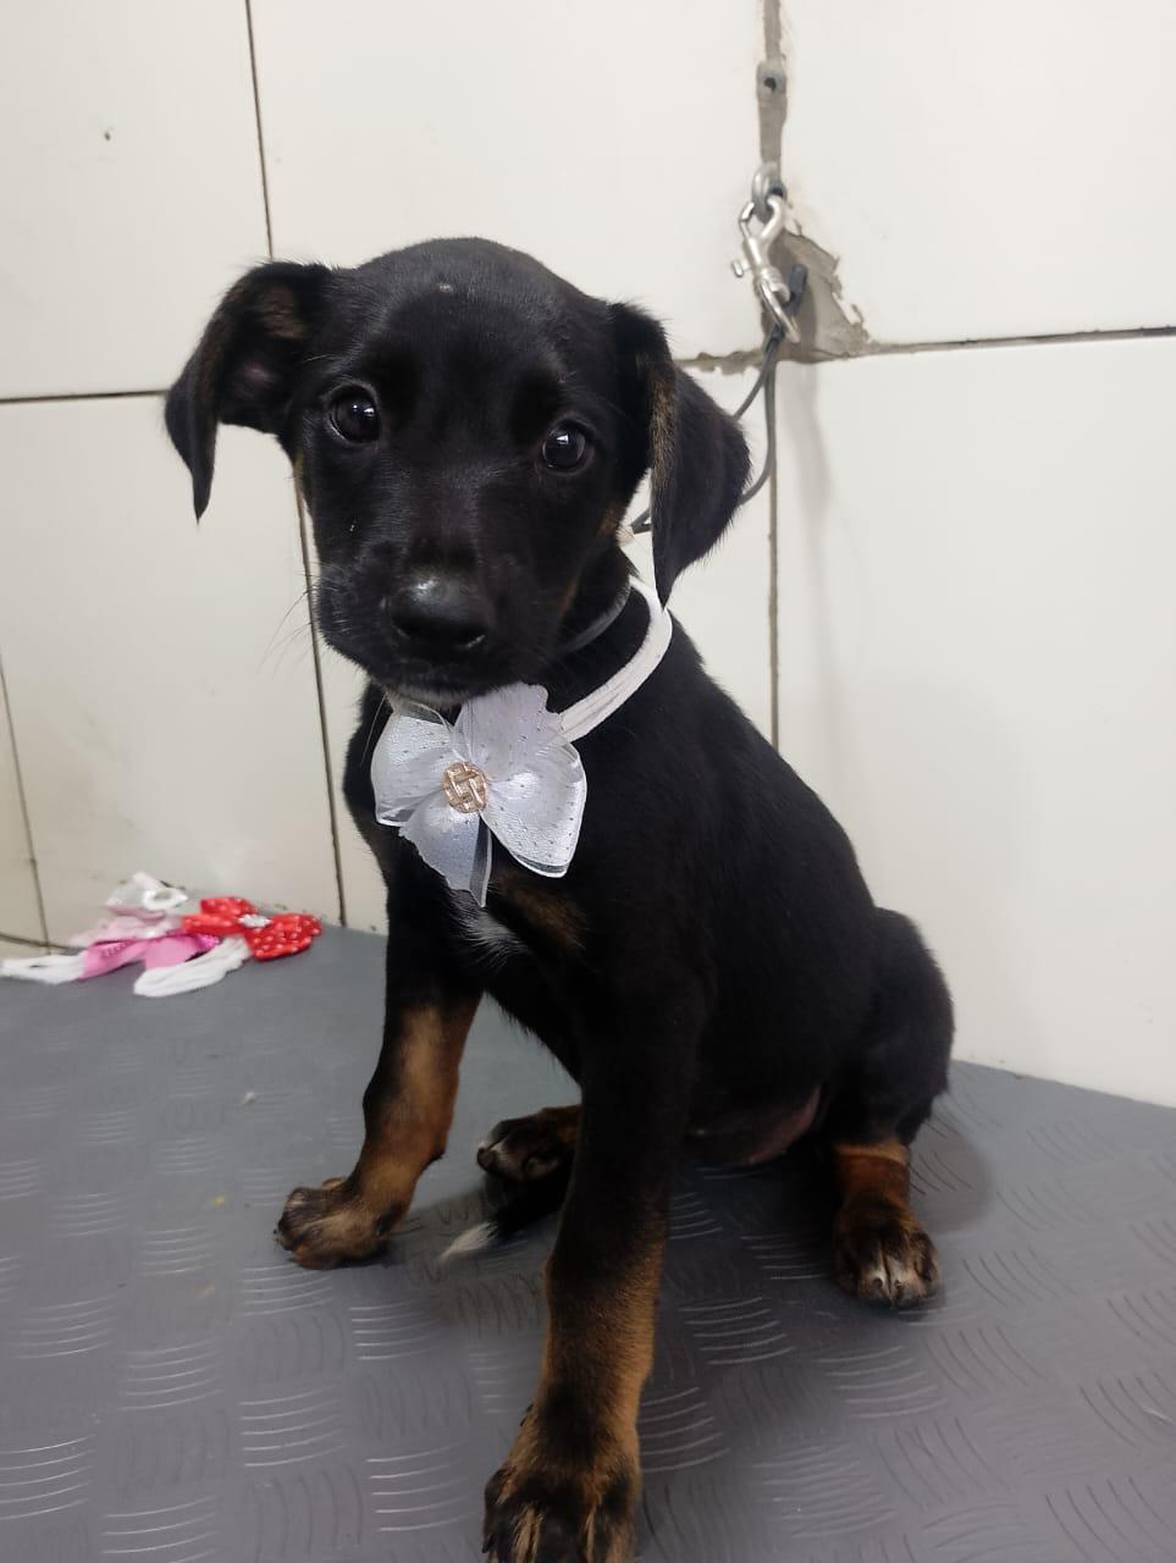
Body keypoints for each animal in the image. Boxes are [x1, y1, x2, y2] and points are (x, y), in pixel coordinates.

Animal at [166, 237, 953, 1563]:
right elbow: (402, 1093)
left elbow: (602, 1255)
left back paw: (876, 1227)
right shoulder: (427, 929)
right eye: (353, 414)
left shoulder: (647, 1001)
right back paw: (545, 1135)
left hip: (900, 980)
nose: (434, 618)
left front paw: (571, 1469)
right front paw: (360, 1212)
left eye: (570, 445)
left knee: (867, 1132)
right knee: (653, 1131)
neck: (485, 737)